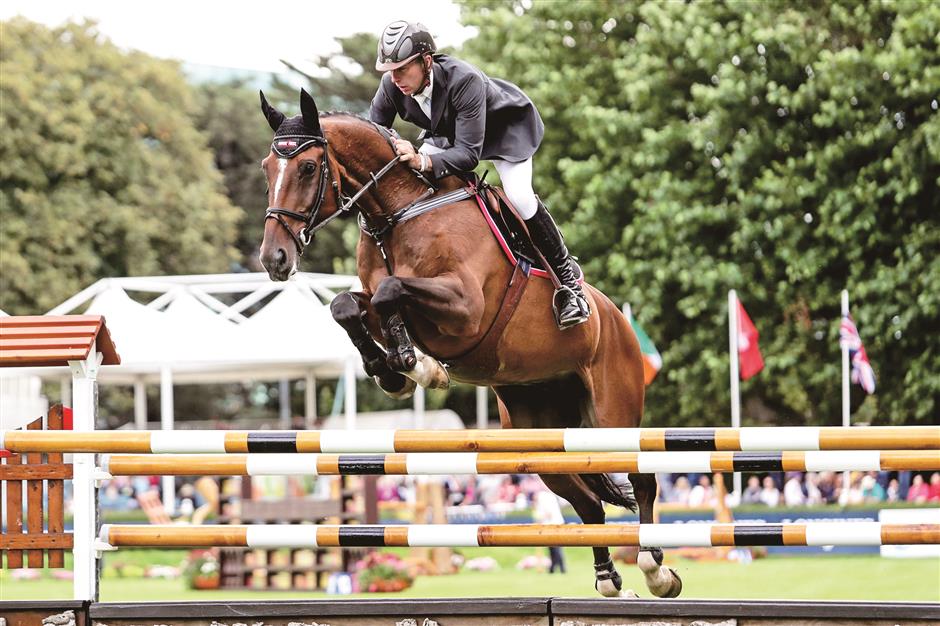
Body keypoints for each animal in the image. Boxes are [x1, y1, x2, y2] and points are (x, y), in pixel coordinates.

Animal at [258, 85, 684, 596]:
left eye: (306, 167)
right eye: (266, 167)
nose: (274, 259)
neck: (398, 213)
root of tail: (618, 320)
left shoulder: (466, 309)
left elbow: (390, 290)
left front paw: (415, 365)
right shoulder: (379, 303)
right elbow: (347, 304)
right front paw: (394, 371)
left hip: (612, 414)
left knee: (643, 481)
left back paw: (656, 570)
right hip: (535, 433)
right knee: (586, 501)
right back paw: (608, 580)